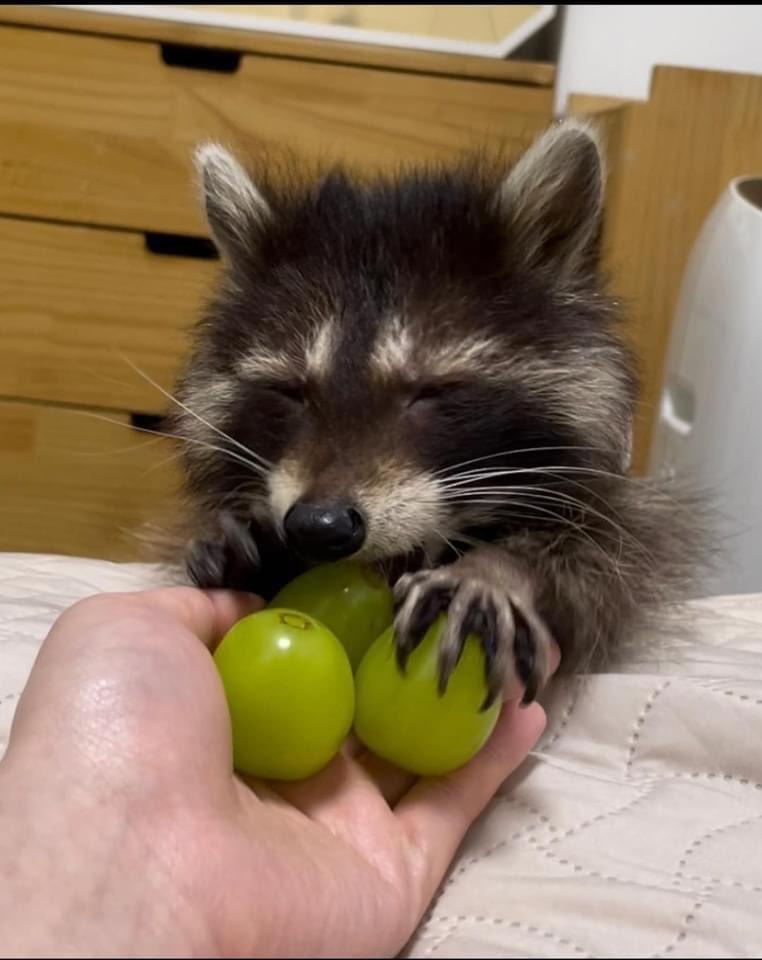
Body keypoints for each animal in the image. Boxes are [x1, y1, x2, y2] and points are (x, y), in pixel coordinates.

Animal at [169, 118, 704, 704]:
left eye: (431, 391)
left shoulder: (627, 516)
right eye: (290, 391)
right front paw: (248, 541)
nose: (318, 525)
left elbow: (612, 557)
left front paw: (500, 568)